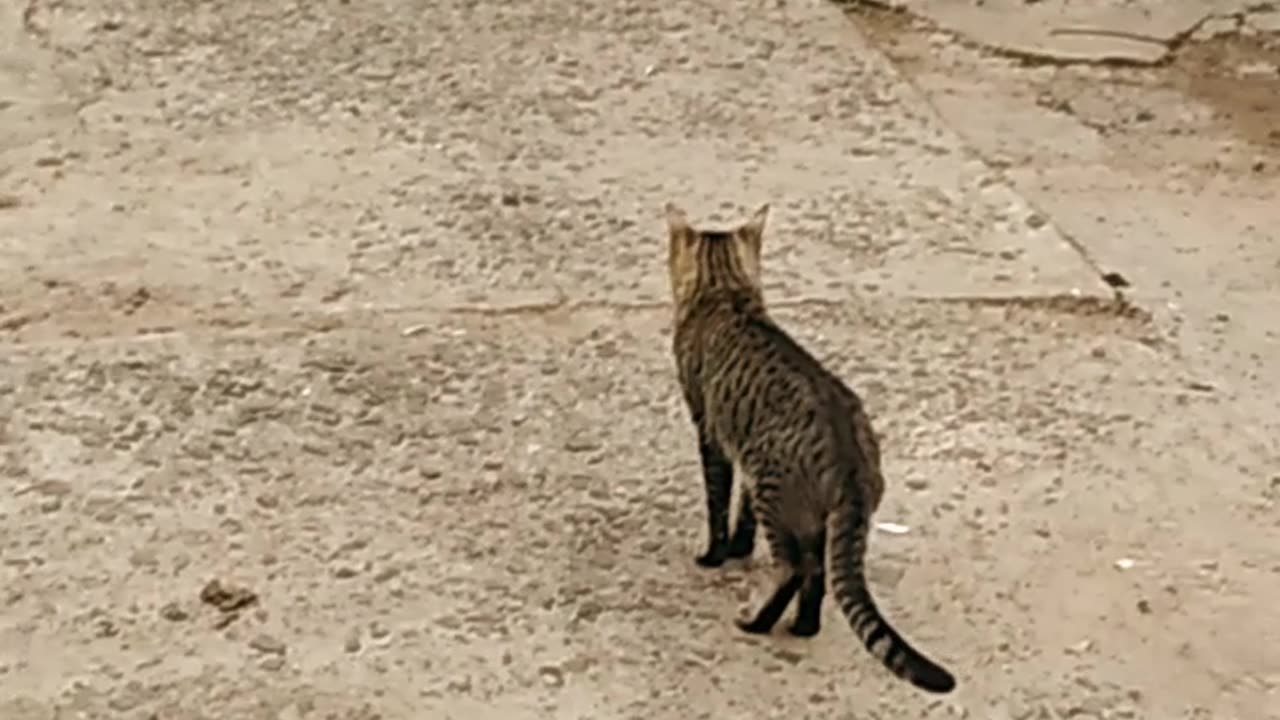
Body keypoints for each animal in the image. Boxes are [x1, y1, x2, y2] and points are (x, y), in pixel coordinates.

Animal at [665, 198, 957, 691]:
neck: (726, 293)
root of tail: (852, 463)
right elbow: (740, 513)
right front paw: (739, 548)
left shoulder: (711, 433)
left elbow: (718, 503)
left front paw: (716, 555)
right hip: (810, 515)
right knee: (817, 573)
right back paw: (804, 625)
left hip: (773, 487)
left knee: (794, 569)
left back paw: (759, 623)